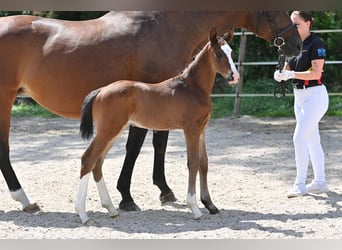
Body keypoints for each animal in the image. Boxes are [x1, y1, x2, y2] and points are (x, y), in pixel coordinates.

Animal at [76, 28, 239, 224]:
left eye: (232, 52)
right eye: (218, 54)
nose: (234, 77)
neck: (192, 88)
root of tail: (100, 91)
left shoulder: (202, 129)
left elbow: (203, 162)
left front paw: (210, 205)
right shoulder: (191, 129)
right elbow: (192, 162)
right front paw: (194, 208)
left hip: (114, 131)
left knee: (97, 163)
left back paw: (111, 209)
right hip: (108, 131)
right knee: (88, 159)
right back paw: (83, 215)